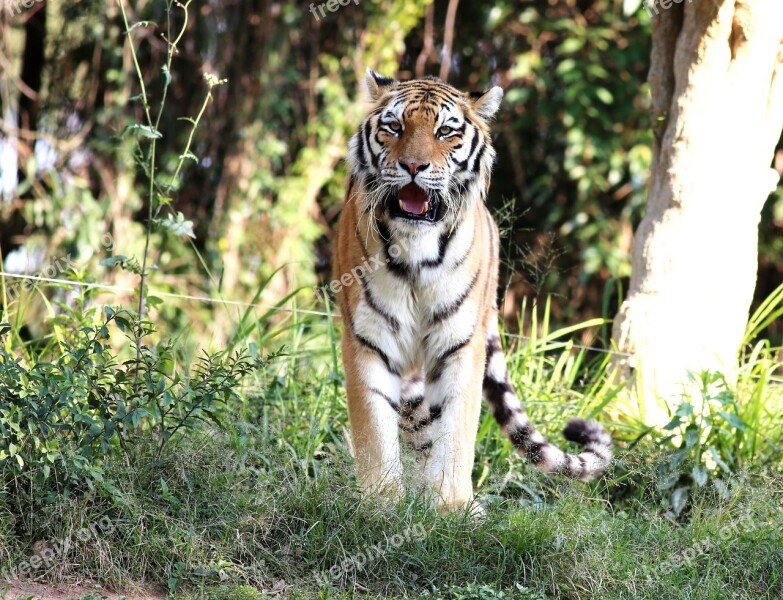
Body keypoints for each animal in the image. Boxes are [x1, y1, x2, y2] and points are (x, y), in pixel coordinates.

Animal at [330, 70, 612, 510]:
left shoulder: (460, 341)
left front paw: (451, 506)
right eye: (394, 127)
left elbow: (455, 429)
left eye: (445, 131)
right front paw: (381, 503)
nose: (413, 165)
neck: (416, 250)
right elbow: (375, 427)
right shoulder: (368, 338)